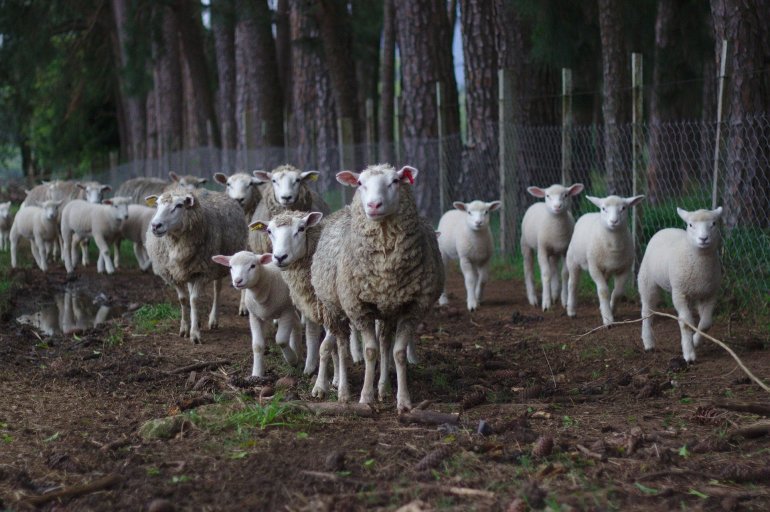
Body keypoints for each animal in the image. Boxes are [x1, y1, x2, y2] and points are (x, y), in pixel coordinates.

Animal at [145, 189, 246, 344]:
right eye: (156, 204)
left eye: (179, 205)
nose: (156, 226)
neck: (176, 244)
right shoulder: (173, 274)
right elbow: (183, 299)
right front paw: (185, 327)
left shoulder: (202, 271)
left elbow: (194, 299)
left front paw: (194, 334)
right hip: (189, 270)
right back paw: (197, 320)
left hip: (219, 263)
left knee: (217, 289)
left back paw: (213, 319)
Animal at [312, 164, 444, 412]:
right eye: (360, 183)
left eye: (395, 181)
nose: (374, 205)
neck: (385, 270)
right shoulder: (359, 308)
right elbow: (369, 351)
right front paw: (366, 397)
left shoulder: (412, 308)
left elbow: (398, 353)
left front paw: (403, 400)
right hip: (335, 307)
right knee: (342, 346)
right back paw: (344, 391)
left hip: (387, 311)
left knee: (385, 343)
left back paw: (383, 388)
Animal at [565, 194, 645, 325]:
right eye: (603, 208)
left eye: (623, 208)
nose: (614, 221)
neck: (614, 246)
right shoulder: (594, 267)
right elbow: (603, 291)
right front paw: (608, 319)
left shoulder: (625, 269)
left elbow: (617, 292)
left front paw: (611, 310)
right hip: (573, 260)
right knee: (573, 284)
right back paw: (571, 311)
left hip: (605, 270)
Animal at [638, 207, 723, 363]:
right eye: (690, 225)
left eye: (714, 223)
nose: (703, 239)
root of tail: (665, 229)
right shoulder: (679, 292)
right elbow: (686, 322)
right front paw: (689, 354)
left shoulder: (710, 294)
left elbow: (706, 323)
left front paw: (695, 341)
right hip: (647, 280)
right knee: (647, 311)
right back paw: (648, 342)